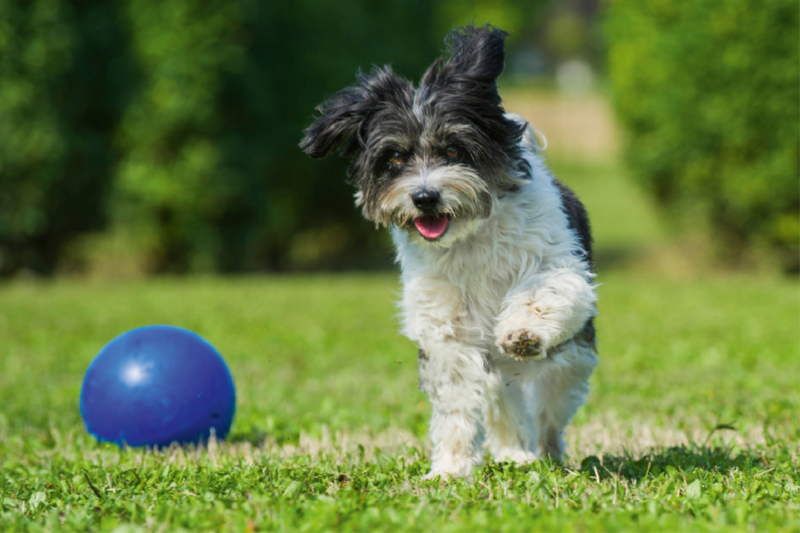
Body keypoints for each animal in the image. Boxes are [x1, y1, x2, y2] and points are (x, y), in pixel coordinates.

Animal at [304, 23, 596, 478]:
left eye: (454, 149)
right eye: (395, 157)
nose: (425, 196)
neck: (468, 237)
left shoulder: (558, 265)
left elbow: (543, 293)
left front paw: (523, 332)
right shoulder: (445, 325)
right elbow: (456, 401)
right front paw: (451, 468)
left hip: (571, 362)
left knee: (549, 410)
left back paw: (546, 453)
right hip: (497, 373)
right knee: (503, 404)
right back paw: (514, 453)